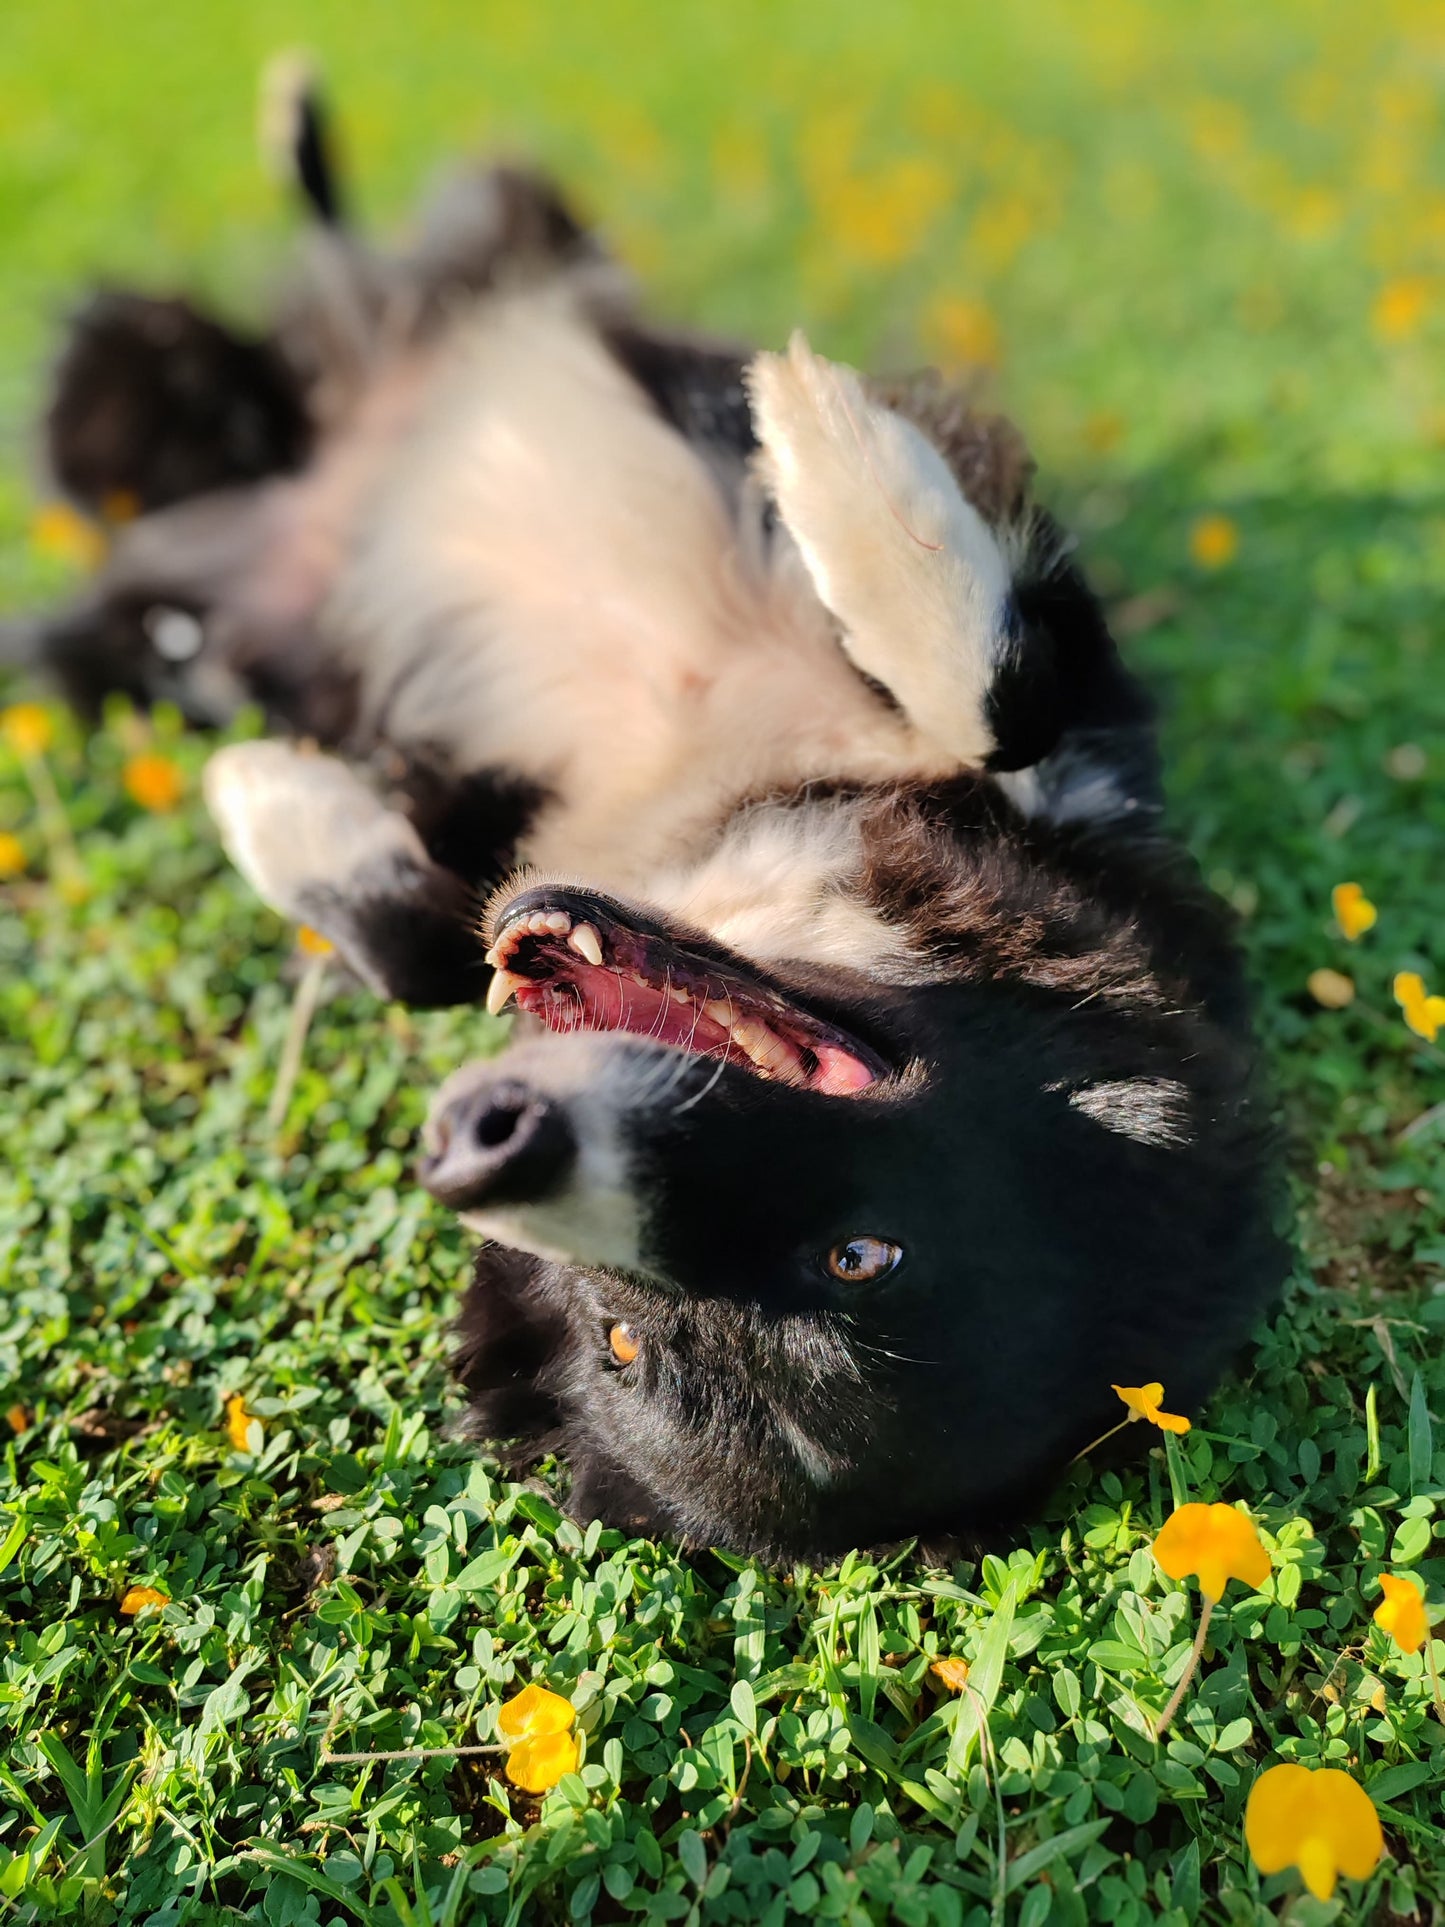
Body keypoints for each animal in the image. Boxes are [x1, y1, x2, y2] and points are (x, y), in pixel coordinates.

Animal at [25, 93, 1287, 1564]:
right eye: (621, 1345)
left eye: (858, 1256)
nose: (492, 1141)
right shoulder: (1079, 735)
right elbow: (1001, 688)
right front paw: (833, 454)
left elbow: (425, 947)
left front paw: (271, 805)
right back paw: (305, 162)